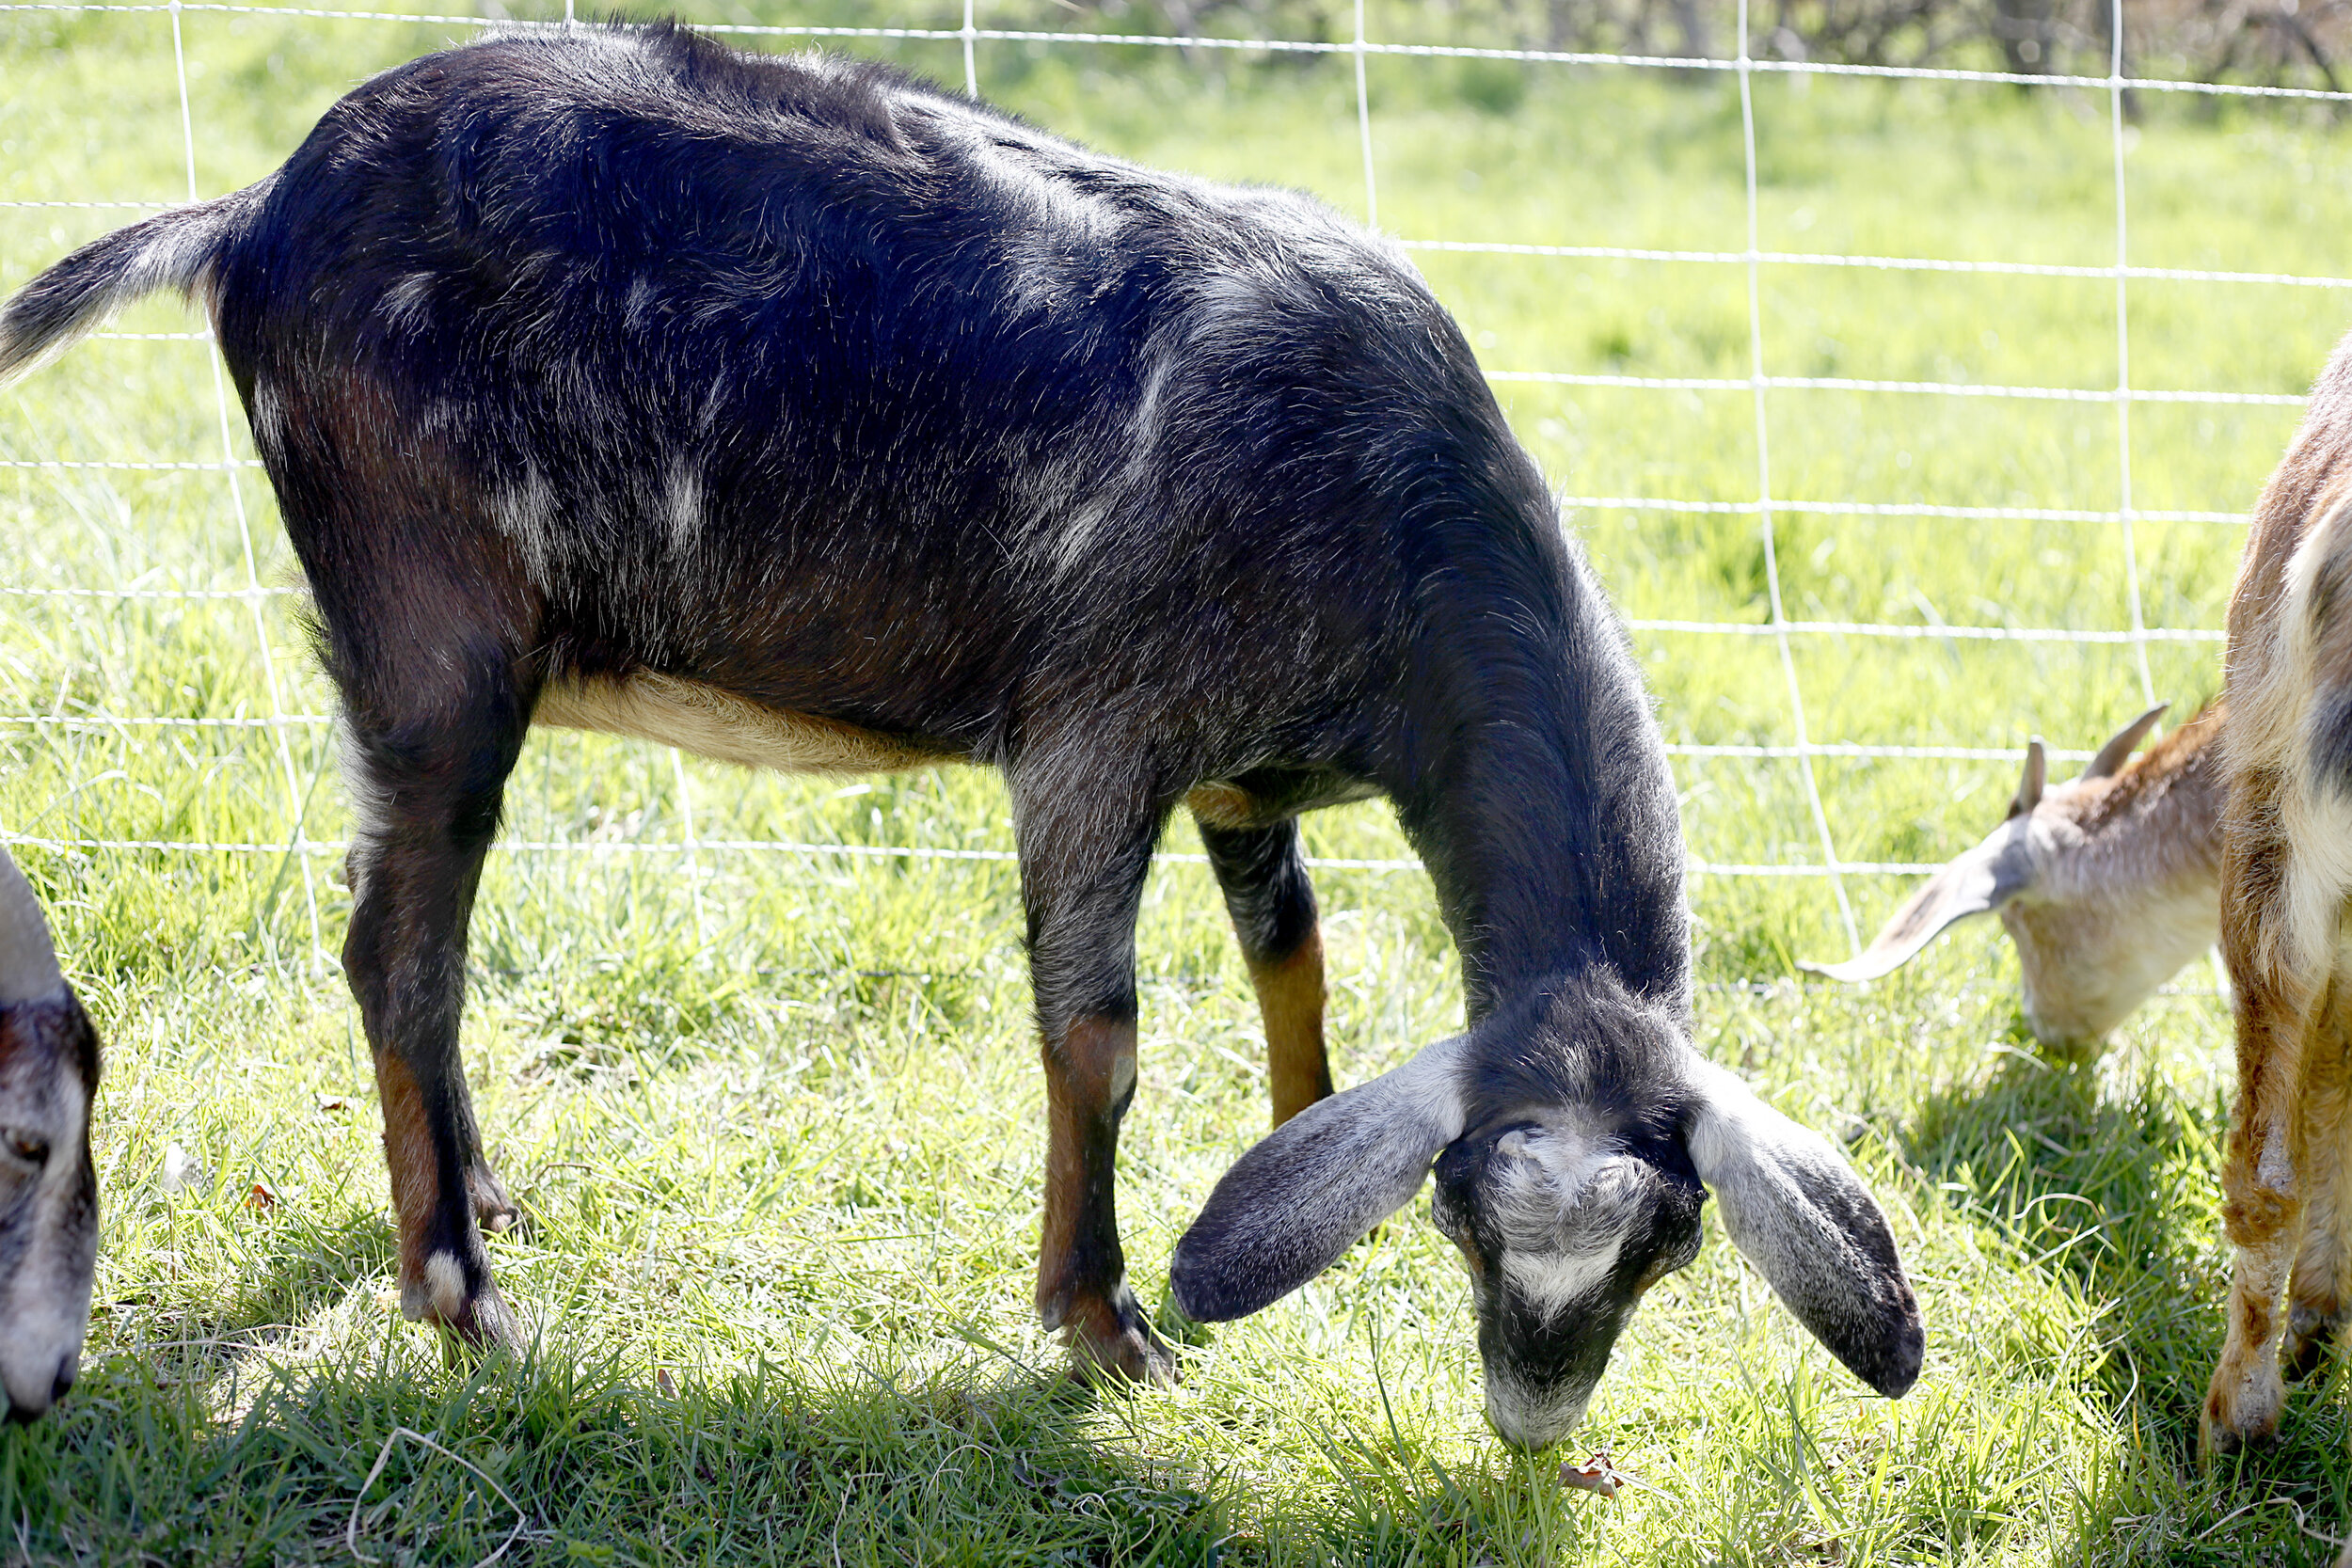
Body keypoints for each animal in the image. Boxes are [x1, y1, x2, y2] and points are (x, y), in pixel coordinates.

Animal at [0, 23, 1919, 1442]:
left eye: (1665, 1249)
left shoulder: (1241, 772)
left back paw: (480, 1201)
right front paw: (1104, 1321)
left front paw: (1289, 1168)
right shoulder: (1098, 729)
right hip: (432, 632)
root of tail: (250, 213)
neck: (1386, 507)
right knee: (396, 941)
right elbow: (1101, 1039)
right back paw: (466, 1295)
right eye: (1470, 1214)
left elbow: (1293, 958)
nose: (1531, 1414)